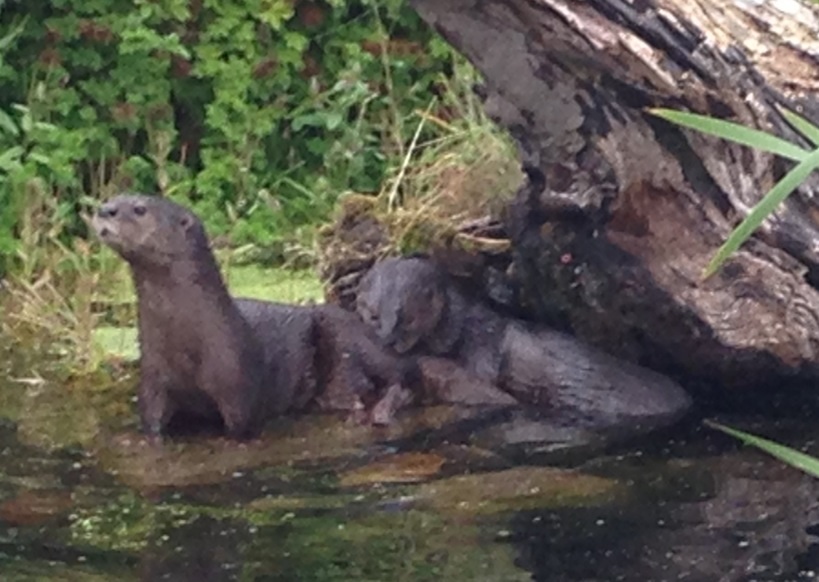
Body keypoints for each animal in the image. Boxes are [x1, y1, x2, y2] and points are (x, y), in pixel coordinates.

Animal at [93, 194, 415, 440]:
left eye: (139, 209)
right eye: (112, 198)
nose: (103, 210)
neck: (187, 344)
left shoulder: (238, 384)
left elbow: (240, 426)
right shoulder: (153, 380)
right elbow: (152, 425)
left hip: (343, 335)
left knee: (390, 379)